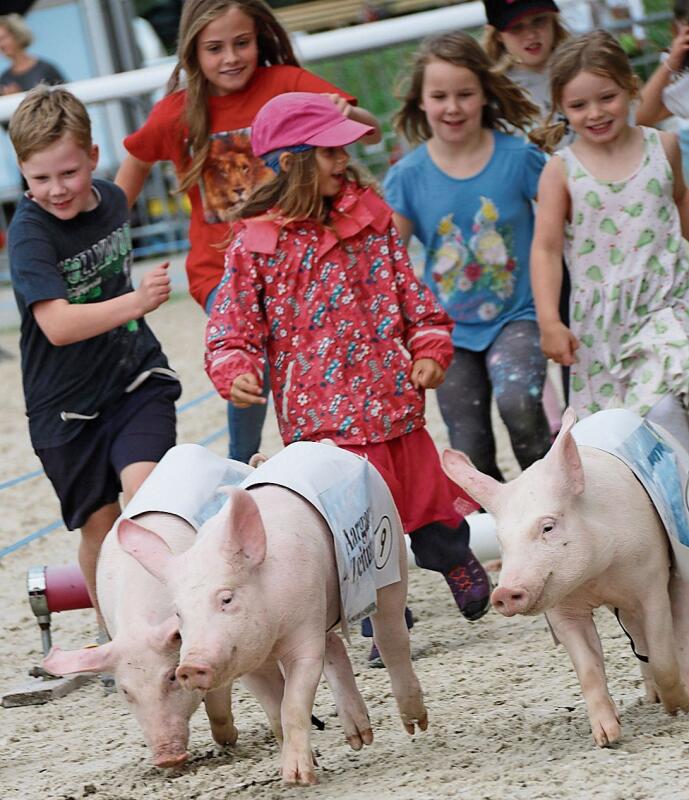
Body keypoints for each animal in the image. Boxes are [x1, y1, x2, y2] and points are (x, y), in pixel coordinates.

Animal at [121, 478, 428, 784]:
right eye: (178, 613)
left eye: (226, 599)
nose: (189, 666)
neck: (272, 638)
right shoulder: (248, 667)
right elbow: (275, 711)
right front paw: (302, 766)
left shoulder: (305, 635)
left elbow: (292, 704)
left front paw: (298, 778)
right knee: (337, 646)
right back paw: (359, 740)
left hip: (389, 557)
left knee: (390, 636)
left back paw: (415, 725)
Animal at [440, 410, 688, 748]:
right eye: (501, 540)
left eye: (548, 527)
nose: (502, 592)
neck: (597, 578)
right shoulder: (562, 609)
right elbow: (588, 669)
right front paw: (606, 737)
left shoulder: (651, 581)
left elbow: (664, 654)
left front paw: (677, 708)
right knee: (639, 639)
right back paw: (651, 699)